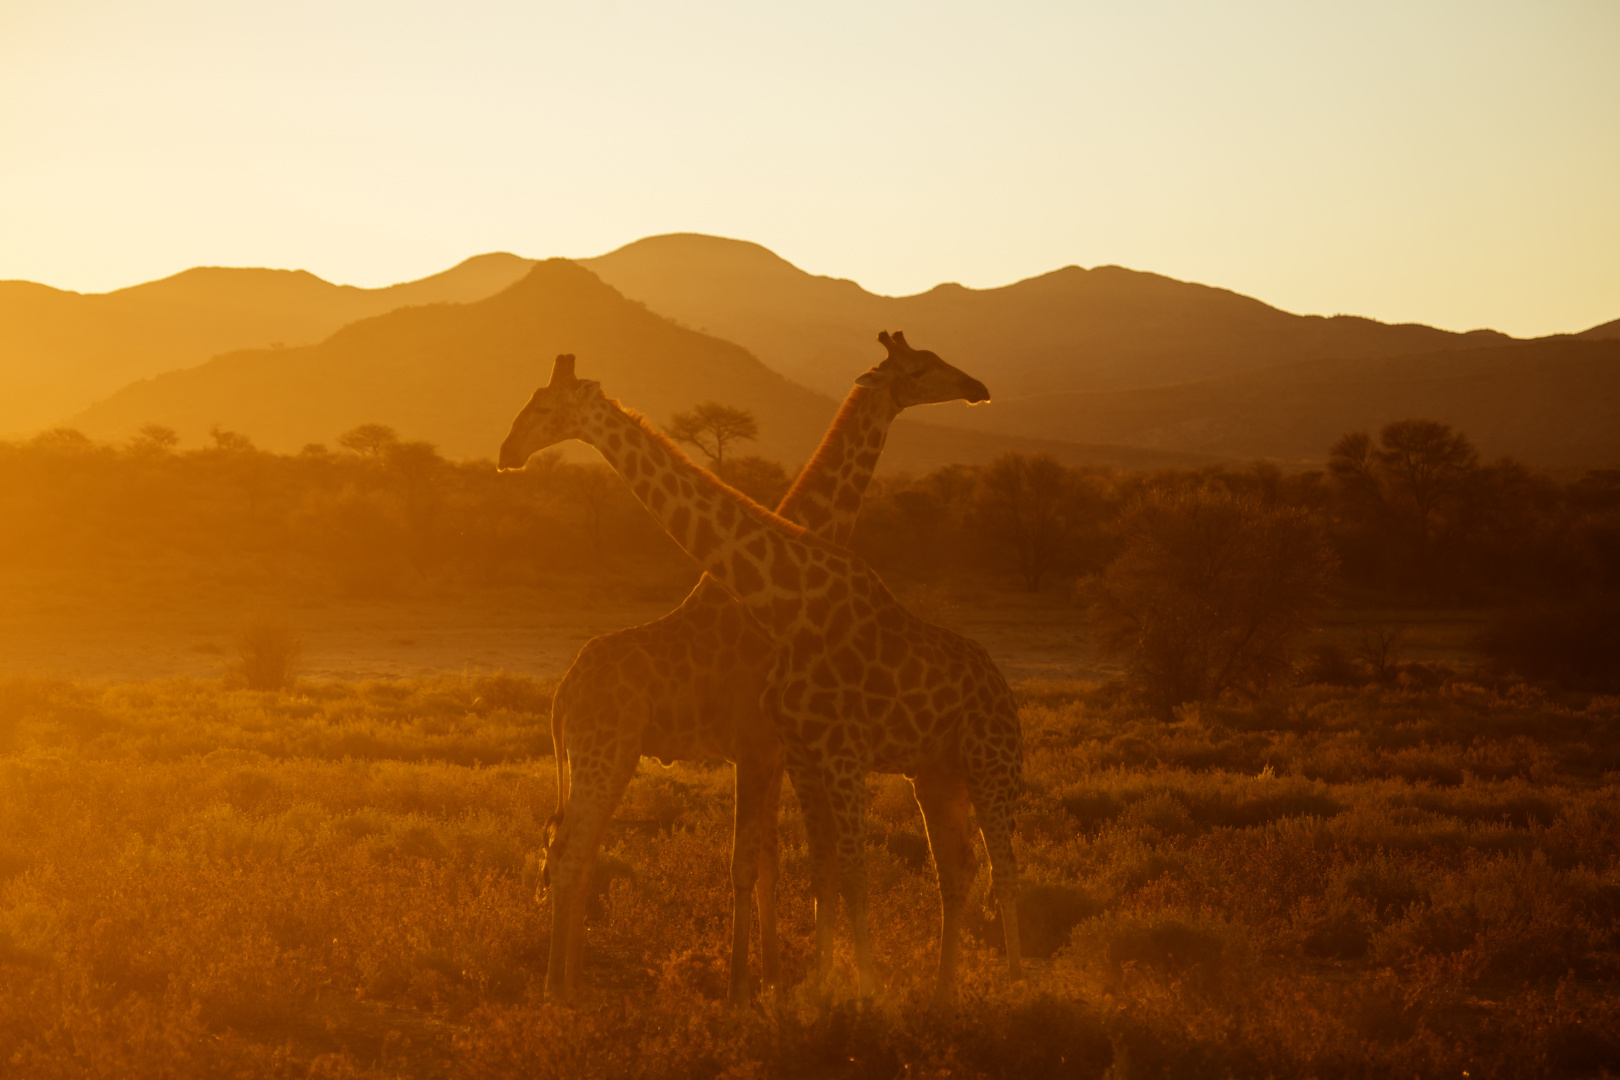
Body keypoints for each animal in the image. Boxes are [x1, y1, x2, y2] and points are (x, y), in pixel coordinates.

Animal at [495, 351, 1023, 1003]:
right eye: (923, 367)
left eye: (543, 405)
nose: (507, 450)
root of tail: (562, 692)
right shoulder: (765, 747)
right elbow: (758, 862)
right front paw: (750, 986)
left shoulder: (774, 752)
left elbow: (772, 861)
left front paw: (770, 981)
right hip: (605, 752)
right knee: (570, 852)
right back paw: (560, 991)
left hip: (608, 755)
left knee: (573, 848)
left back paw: (569, 983)